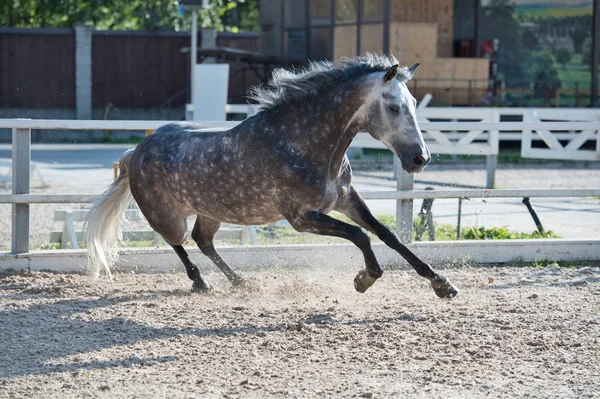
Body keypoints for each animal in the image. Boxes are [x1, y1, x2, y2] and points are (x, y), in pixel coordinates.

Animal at [86, 54, 458, 300]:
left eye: (413, 102)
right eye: (394, 107)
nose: (420, 159)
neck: (301, 144)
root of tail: (136, 151)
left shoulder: (347, 200)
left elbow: (388, 235)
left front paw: (442, 284)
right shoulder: (301, 218)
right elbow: (361, 236)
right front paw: (364, 279)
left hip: (210, 210)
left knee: (203, 240)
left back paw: (240, 282)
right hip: (165, 215)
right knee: (179, 242)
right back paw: (201, 283)